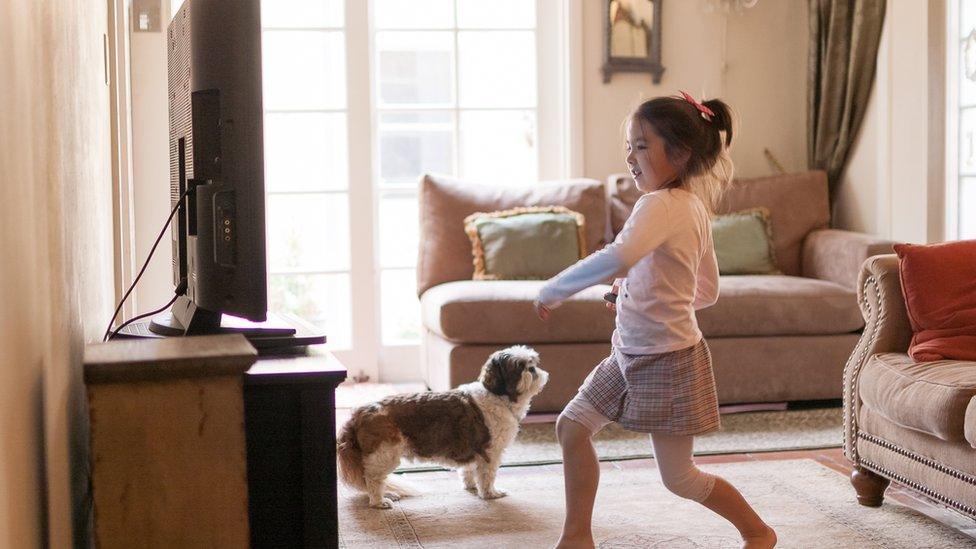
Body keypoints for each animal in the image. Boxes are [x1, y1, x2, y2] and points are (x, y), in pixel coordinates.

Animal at [336, 344, 548, 508]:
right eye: (519, 367)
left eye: (533, 362)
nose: (532, 369)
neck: (498, 396)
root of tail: (360, 412)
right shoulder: (490, 452)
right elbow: (487, 477)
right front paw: (490, 494)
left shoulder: (473, 449)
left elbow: (468, 470)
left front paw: (471, 486)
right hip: (384, 454)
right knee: (373, 479)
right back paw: (379, 501)